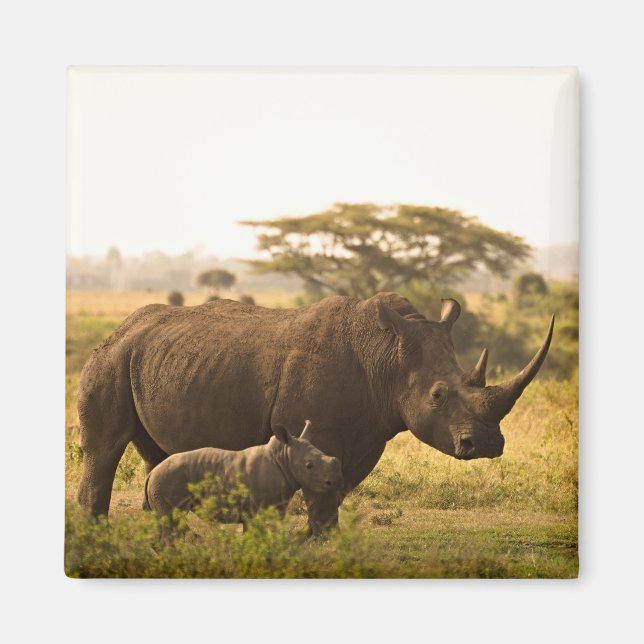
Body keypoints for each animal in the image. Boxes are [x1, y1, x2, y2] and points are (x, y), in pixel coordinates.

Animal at [143, 420, 343, 528]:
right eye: (309, 466)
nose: (335, 481)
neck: (284, 457)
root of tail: (151, 474)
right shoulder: (259, 507)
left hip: (164, 479)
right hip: (167, 479)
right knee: (172, 520)